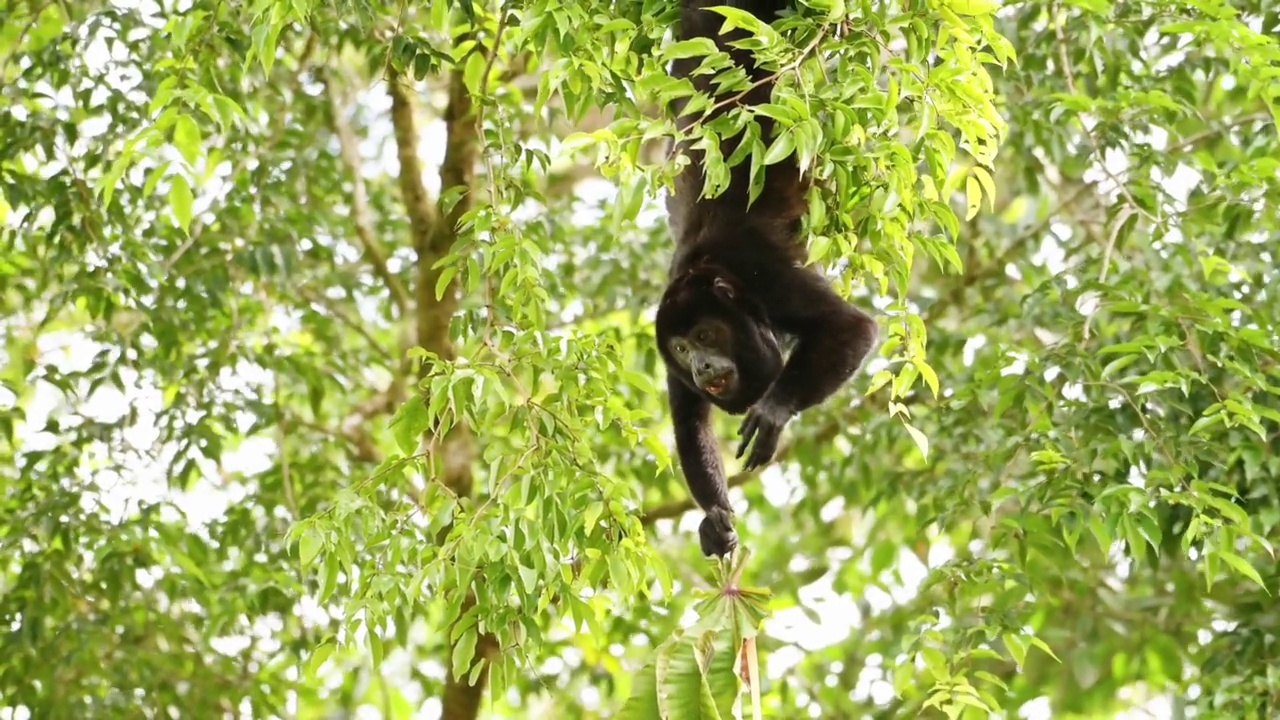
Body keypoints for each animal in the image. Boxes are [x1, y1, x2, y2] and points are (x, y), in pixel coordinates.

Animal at [655, 0, 875, 556]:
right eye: (683, 349)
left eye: (706, 335)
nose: (702, 367)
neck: (711, 275)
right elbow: (689, 422)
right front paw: (715, 518)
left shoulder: (765, 276)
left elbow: (852, 327)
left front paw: (774, 411)